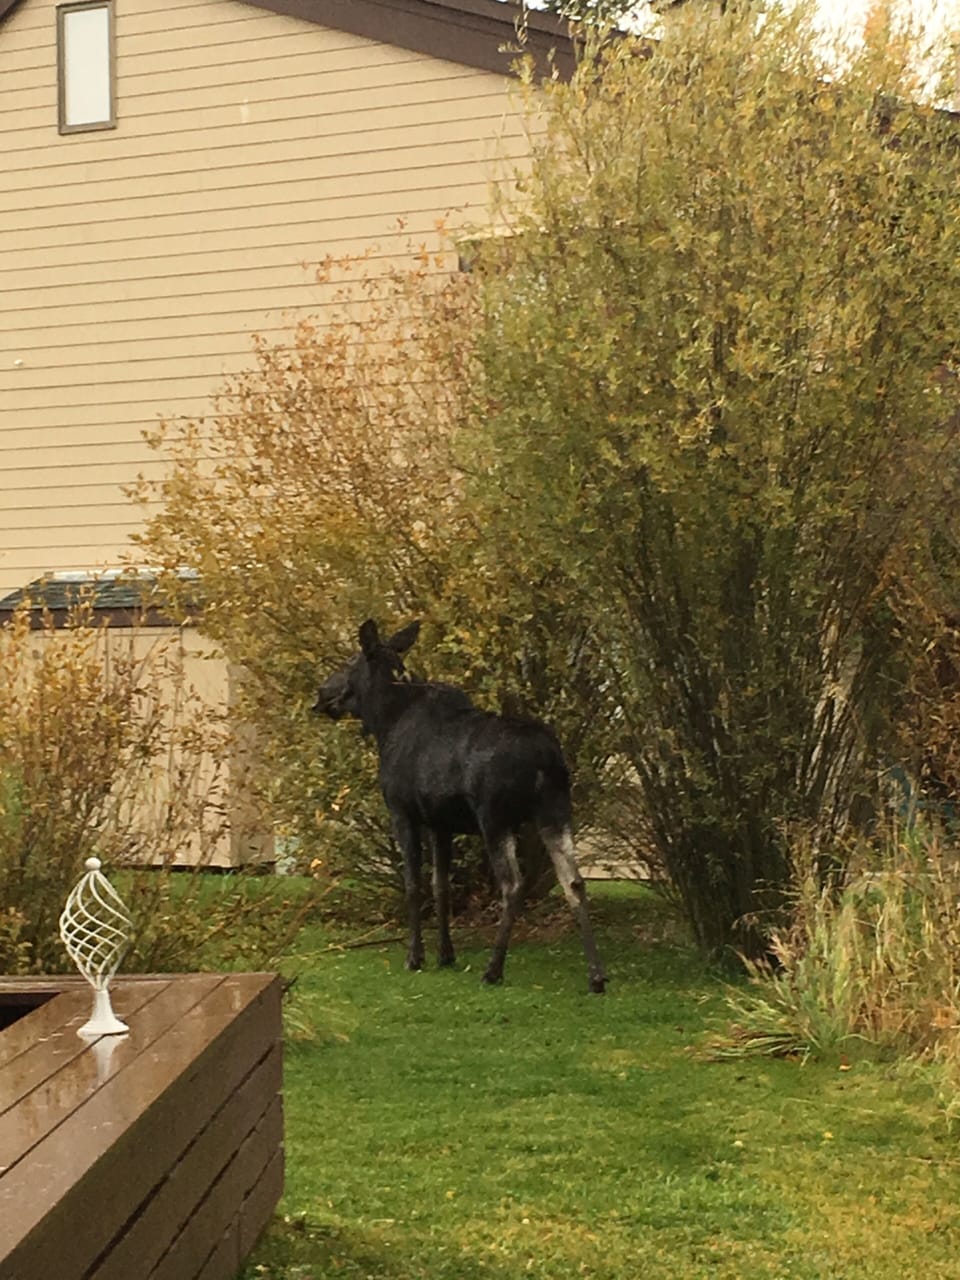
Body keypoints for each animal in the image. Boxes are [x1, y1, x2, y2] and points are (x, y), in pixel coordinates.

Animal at [313, 619, 606, 993]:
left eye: (351, 660)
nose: (322, 692)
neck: (384, 723)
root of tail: (548, 761)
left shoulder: (402, 813)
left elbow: (414, 885)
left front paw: (416, 957)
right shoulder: (441, 823)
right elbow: (441, 886)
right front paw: (445, 954)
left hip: (495, 818)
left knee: (513, 884)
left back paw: (493, 969)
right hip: (555, 813)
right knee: (574, 881)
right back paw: (596, 975)